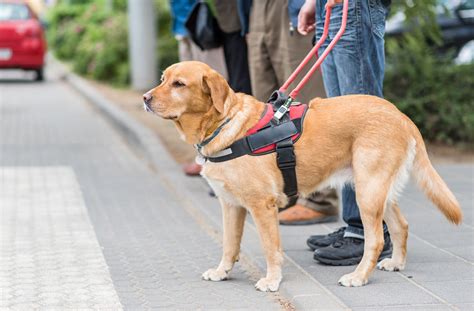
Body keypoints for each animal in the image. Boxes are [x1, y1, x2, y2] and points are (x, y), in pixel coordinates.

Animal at [144, 61, 462, 292]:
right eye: (162, 78)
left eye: (179, 84)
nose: (145, 98)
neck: (225, 123)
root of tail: (401, 115)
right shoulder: (231, 205)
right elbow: (229, 244)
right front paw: (223, 271)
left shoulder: (262, 206)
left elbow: (271, 249)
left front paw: (272, 280)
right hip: (377, 190)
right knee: (401, 226)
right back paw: (396, 263)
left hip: (367, 192)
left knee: (375, 241)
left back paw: (359, 276)